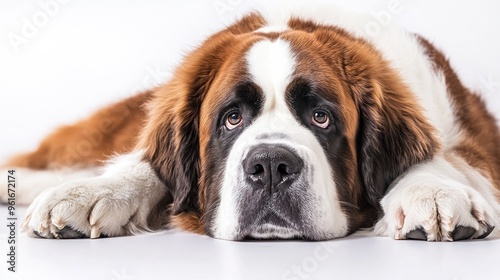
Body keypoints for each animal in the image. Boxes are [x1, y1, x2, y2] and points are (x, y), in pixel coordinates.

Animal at [1, 3, 498, 242]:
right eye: (232, 118)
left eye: (321, 118)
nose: (272, 166)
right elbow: (146, 167)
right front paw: (95, 193)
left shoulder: (475, 144)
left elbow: (442, 158)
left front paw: (430, 192)